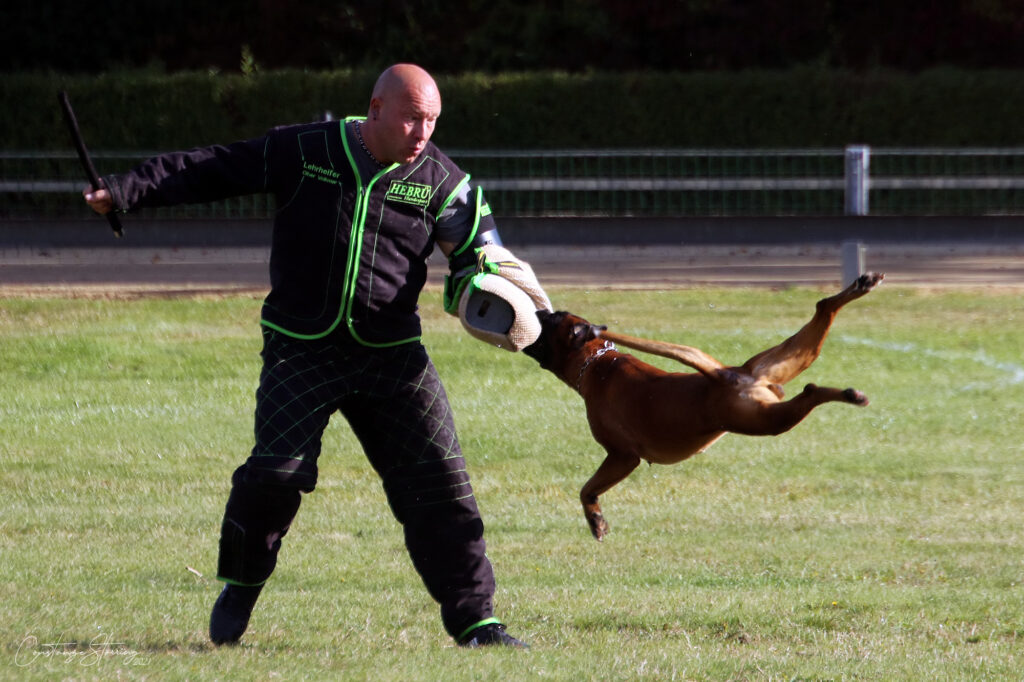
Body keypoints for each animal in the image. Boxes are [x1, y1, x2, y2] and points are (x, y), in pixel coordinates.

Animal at [524, 270, 884, 536]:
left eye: (550, 322)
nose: (537, 310)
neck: (598, 361)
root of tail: (726, 375)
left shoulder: (622, 457)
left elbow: (587, 490)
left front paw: (595, 520)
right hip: (784, 365)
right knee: (823, 308)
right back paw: (860, 288)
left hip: (765, 420)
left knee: (810, 390)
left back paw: (851, 396)